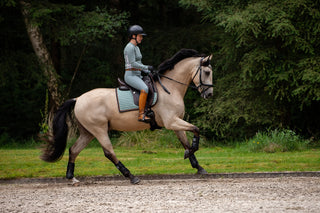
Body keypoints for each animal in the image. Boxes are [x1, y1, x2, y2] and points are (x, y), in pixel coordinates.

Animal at [41, 47, 214, 183]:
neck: (170, 88)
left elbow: (186, 141)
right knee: (109, 152)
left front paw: (198, 166)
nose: (209, 94)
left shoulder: (176, 122)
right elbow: (196, 129)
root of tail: (78, 99)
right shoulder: (171, 121)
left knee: (74, 150)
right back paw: (131, 176)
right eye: (207, 72)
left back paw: (71, 177)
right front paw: (192, 152)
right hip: (99, 129)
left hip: (87, 132)